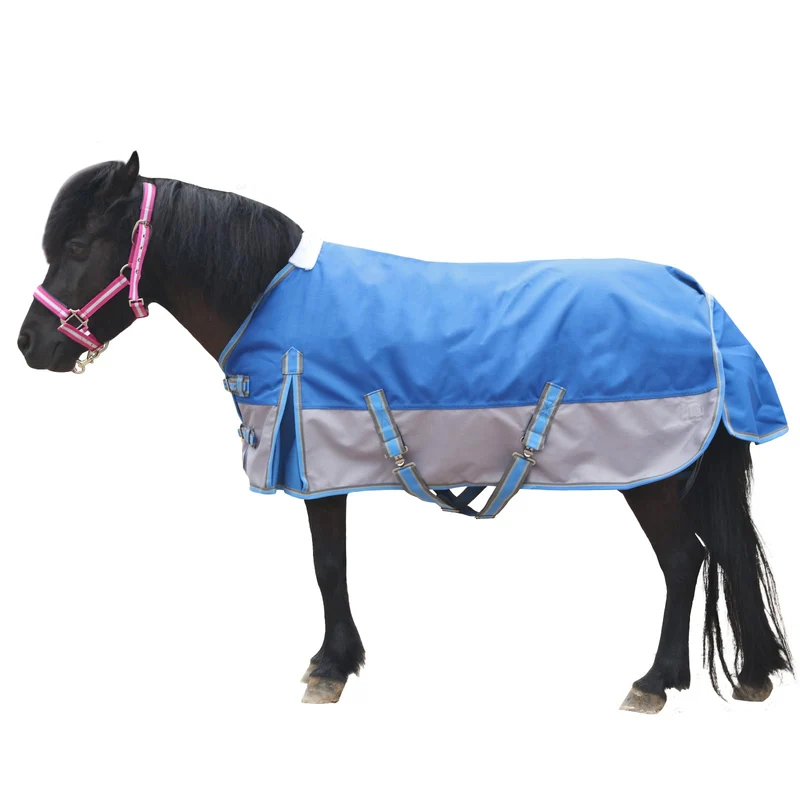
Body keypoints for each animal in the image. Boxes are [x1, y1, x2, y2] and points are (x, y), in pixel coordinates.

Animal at [17, 153, 793, 712]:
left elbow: (328, 565)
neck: (269, 297)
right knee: (721, 554)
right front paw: (337, 660)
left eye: (80, 243)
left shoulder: (315, 467)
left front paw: (331, 667)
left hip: (652, 477)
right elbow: (333, 565)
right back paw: (751, 674)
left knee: (684, 562)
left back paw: (655, 681)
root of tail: (699, 298)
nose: (29, 344)